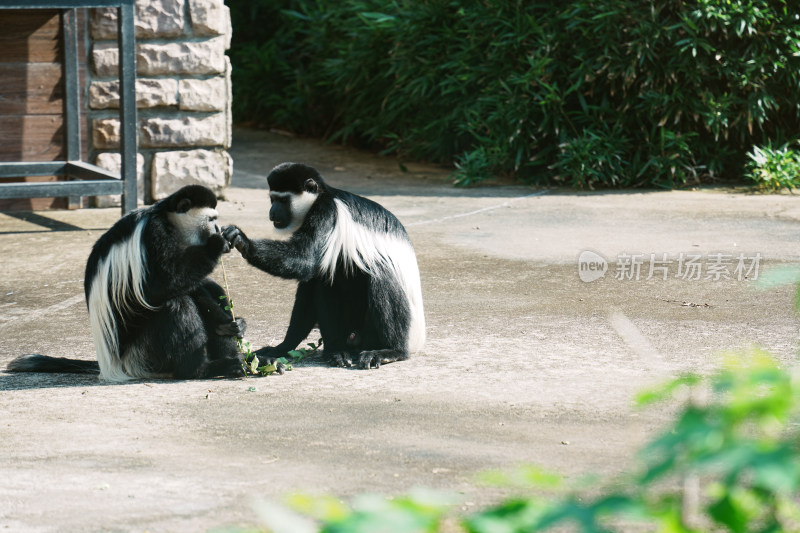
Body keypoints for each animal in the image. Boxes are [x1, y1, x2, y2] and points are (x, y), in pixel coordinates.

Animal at [6, 185, 247, 380]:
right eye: (211, 220)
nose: (217, 230)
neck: (169, 221)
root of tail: (112, 364)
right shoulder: (154, 234)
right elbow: (157, 288)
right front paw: (215, 244)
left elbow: (196, 285)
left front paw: (232, 322)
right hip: (143, 354)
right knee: (176, 304)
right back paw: (203, 369)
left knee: (206, 289)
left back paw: (239, 361)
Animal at [220, 162, 424, 370]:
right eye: (272, 199)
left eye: (283, 200)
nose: (272, 213)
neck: (322, 196)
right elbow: (308, 277)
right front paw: (281, 348)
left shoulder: (326, 212)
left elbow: (304, 257)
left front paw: (243, 240)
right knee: (323, 281)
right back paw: (336, 351)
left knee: (379, 274)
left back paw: (390, 351)